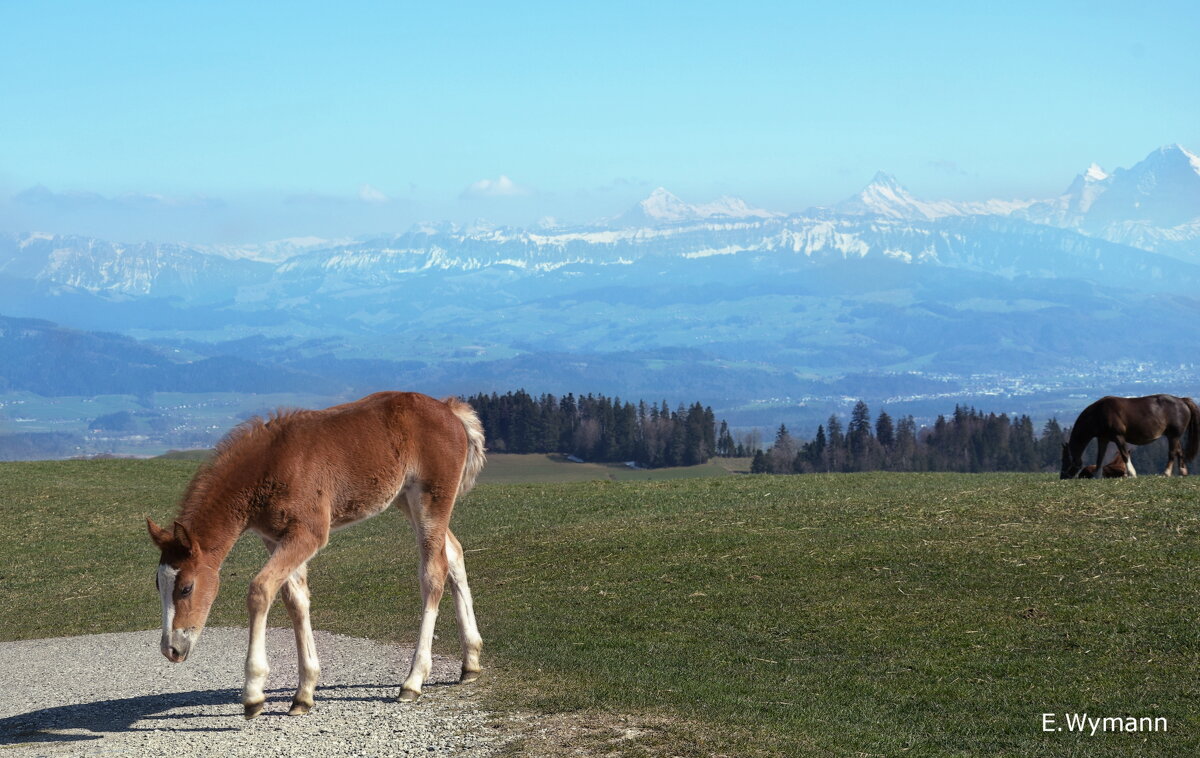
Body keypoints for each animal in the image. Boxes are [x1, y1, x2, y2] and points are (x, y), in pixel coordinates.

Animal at [147, 393, 484, 719]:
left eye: (186, 588)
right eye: (158, 586)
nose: (170, 650)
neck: (270, 463)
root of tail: (449, 409)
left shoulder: (309, 533)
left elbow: (260, 590)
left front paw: (254, 694)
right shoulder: (276, 539)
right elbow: (296, 601)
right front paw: (304, 694)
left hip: (431, 498)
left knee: (433, 572)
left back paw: (413, 681)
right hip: (405, 499)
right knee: (454, 554)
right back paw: (470, 663)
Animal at [1065, 393, 1195, 477]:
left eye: (1066, 461)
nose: (1064, 476)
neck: (1099, 413)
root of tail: (1182, 401)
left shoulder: (1119, 437)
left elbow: (1124, 454)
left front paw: (1132, 473)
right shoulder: (1103, 439)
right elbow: (1100, 458)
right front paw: (1097, 476)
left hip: (1173, 436)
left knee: (1172, 453)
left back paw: (1166, 473)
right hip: (1174, 436)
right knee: (1179, 451)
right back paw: (1182, 472)